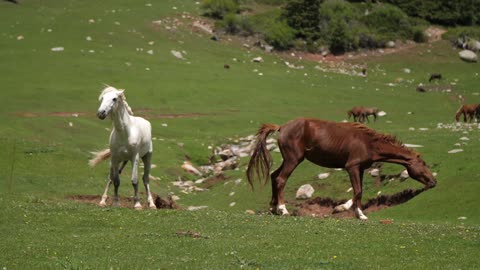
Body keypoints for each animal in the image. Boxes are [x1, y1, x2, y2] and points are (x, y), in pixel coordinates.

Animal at [246, 118, 436, 219]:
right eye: (424, 164)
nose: (434, 181)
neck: (369, 143)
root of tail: (282, 127)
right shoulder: (352, 167)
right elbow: (357, 191)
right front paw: (344, 209)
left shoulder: (360, 169)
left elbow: (359, 192)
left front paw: (358, 214)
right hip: (293, 160)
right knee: (280, 179)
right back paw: (283, 209)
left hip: (288, 160)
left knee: (273, 176)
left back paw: (273, 208)